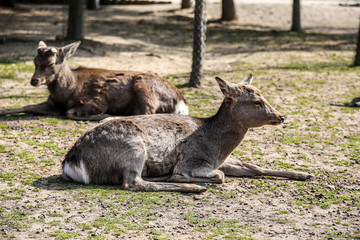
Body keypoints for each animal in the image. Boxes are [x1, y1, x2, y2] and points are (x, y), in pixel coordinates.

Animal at [0, 41, 190, 121]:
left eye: (51, 63)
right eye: (34, 61)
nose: (34, 81)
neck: (68, 91)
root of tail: (182, 103)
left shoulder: (97, 100)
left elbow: (70, 113)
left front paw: (101, 114)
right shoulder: (53, 103)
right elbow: (27, 106)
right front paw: (3, 111)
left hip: (144, 87)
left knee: (145, 113)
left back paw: (108, 117)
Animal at [62, 74, 312, 194]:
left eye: (263, 95)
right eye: (256, 101)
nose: (281, 116)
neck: (217, 147)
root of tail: (71, 163)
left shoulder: (223, 160)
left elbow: (255, 168)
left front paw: (305, 174)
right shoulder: (193, 160)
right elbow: (220, 175)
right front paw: (183, 177)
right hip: (132, 147)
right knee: (133, 183)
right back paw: (193, 187)